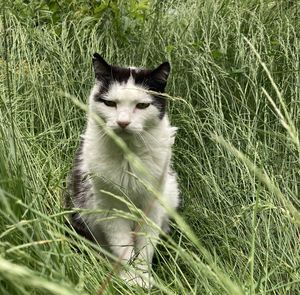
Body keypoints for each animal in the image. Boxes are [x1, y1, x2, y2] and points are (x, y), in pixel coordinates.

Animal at [66, 53, 178, 290]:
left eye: (142, 105)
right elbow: (123, 247)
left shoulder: (152, 207)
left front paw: (143, 279)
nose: (123, 122)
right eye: (110, 103)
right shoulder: (111, 208)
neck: (128, 156)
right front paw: (129, 279)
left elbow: (145, 249)